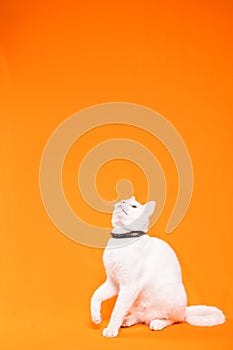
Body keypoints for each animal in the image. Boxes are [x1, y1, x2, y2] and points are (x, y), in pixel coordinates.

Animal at [90, 197, 225, 336]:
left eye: (134, 206)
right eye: (124, 200)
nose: (122, 202)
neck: (119, 239)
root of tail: (185, 309)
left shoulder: (129, 286)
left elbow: (117, 311)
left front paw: (111, 329)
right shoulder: (114, 283)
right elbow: (95, 296)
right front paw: (96, 317)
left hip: (170, 299)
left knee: (176, 319)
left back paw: (158, 322)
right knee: (142, 318)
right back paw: (127, 320)